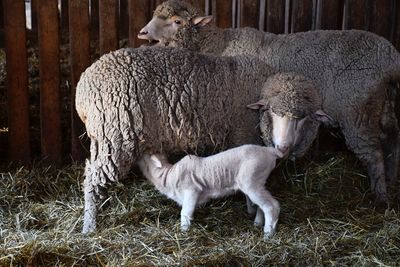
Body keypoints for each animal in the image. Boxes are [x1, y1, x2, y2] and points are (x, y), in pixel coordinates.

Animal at [138, 0, 400, 205]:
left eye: (177, 21)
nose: (142, 33)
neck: (218, 44)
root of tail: (391, 58)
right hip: (383, 103)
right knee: (391, 139)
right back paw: (392, 179)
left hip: (356, 110)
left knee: (372, 153)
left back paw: (380, 197)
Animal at [139, 144, 282, 239]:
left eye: (145, 156)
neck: (169, 174)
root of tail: (270, 151)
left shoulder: (191, 190)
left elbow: (185, 212)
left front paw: (183, 231)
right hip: (258, 181)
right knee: (262, 206)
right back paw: (258, 223)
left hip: (252, 180)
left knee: (271, 206)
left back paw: (268, 233)